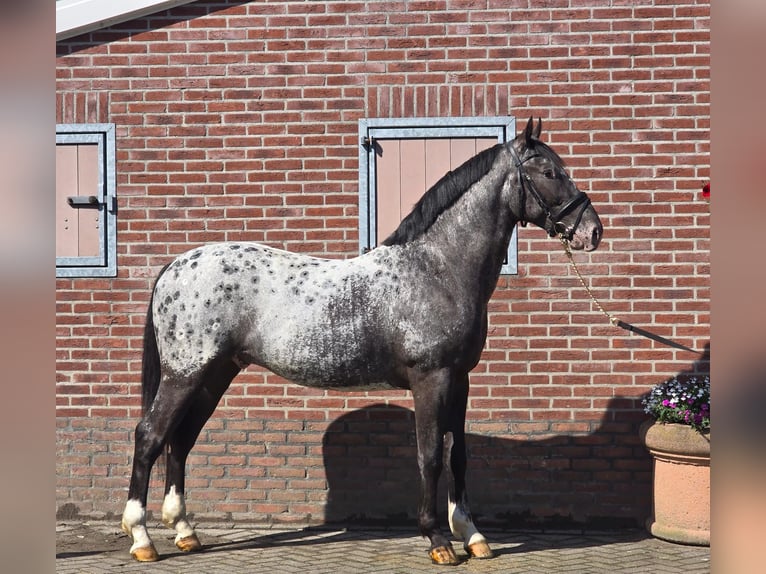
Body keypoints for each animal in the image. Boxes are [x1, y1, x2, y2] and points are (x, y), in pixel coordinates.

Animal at [121, 117, 603, 565]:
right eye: (550, 172)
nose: (593, 231)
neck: (437, 268)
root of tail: (176, 266)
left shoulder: (460, 379)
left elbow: (458, 454)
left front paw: (473, 535)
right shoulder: (431, 380)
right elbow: (430, 455)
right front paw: (438, 541)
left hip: (214, 375)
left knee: (181, 440)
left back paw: (185, 532)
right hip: (185, 375)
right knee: (149, 436)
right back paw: (142, 538)